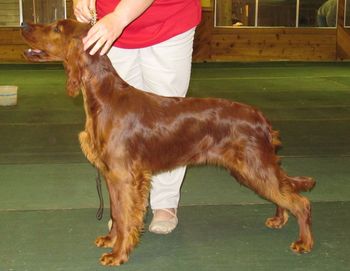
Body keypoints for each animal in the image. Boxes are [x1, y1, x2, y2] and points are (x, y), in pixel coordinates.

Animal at [21, 19, 318, 268]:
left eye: (57, 28)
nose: (23, 25)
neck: (105, 98)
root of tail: (261, 118)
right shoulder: (112, 175)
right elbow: (116, 213)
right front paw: (111, 241)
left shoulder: (125, 176)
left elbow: (126, 217)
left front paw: (118, 254)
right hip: (251, 169)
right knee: (283, 191)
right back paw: (279, 219)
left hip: (253, 166)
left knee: (300, 201)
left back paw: (304, 242)